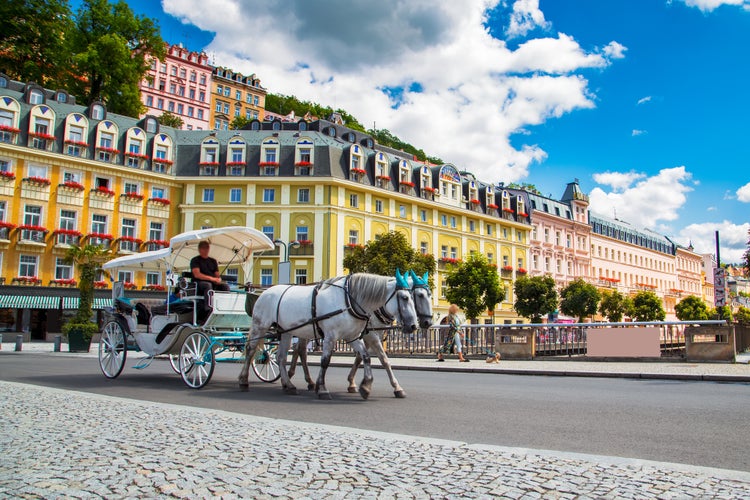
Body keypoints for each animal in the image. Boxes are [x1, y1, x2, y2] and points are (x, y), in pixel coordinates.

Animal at [239, 272, 420, 400]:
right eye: (405, 297)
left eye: (413, 297)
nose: (414, 326)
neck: (349, 300)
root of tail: (265, 292)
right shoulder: (330, 336)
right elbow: (325, 361)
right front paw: (322, 388)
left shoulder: (352, 336)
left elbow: (366, 357)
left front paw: (366, 386)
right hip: (260, 326)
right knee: (251, 350)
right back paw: (243, 381)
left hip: (286, 332)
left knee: (281, 357)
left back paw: (288, 385)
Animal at [288, 270, 434, 398]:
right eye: (420, 295)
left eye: (430, 295)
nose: (428, 322)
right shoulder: (370, 335)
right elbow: (383, 359)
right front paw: (396, 387)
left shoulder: (368, 335)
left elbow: (361, 357)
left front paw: (354, 383)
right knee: (301, 351)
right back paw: (302, 380)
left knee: (298, 349)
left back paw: (300, 379)